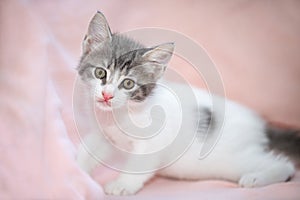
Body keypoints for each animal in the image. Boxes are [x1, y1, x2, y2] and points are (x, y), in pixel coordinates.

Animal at [76, 11, 298, 195]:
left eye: (128, 83)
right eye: (100, 73)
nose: (107, 95)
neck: (121, 113)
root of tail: (260, 123)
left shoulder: (154, 142)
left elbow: (138, 165)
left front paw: (121, 185)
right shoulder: (103, 136)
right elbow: (89, 150)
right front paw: (75, 167)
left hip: (231, 158)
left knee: (283, 164)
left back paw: (257, 177)